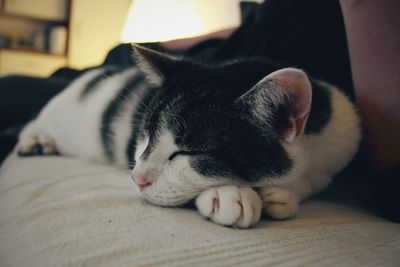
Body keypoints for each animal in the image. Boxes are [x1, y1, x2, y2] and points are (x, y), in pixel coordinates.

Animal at [15, 45, 360, 229]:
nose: (136, 178)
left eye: (188, 153)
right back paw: (36, 139)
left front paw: (284, 193)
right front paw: (231, 194)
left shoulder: (340, 142)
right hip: (59, 110)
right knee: (35, 120)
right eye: (145, 135)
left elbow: (314, 180)